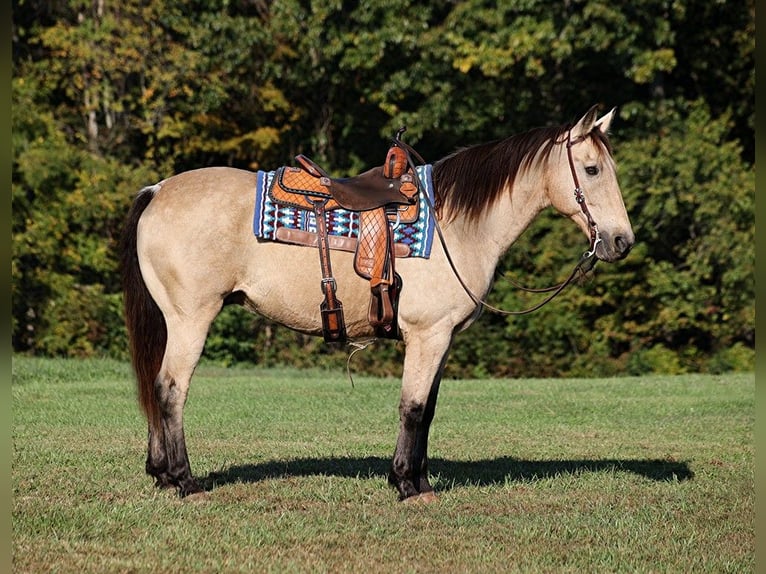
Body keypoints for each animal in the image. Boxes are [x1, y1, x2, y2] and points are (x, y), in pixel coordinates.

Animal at [120, 106, 636, 502]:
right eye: (592, 170)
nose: (621, 241)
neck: (455, 223)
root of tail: (158, 190)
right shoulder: (427, 336)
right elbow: (412, 407)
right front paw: (407, 485)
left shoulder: (442, 340)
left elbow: (428, 410)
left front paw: (419, 480)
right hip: (191, 319)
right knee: (170, 389)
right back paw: (184, 481)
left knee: (155, 387)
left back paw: (161, 475)